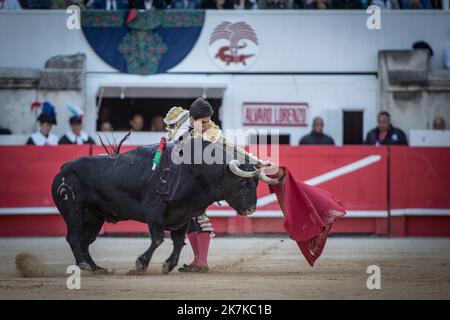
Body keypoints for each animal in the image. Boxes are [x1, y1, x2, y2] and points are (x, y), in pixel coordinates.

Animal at [52, 139, 274, 274]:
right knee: (74, 237)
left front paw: (168, 265)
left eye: (257, 183)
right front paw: (141, 264)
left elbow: (178, 242)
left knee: (85, 240)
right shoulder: (154, 211)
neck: (193, 170)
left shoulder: (183, 215)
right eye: (242, 182)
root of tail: (64, 169)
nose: (251, 209)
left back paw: (95, 267)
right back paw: (83, 265)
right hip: (74, 211)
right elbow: (158, 238)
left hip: (95, 216)